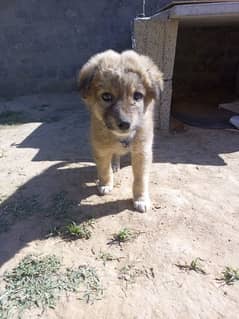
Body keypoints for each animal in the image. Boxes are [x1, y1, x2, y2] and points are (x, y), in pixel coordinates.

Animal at [77, 50, 163, 214]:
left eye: (137, 96)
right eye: (106, 96)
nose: (125, 124)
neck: (121, 138)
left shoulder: (142, 151)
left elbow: (140, 179)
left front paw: (141, 199)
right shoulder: (101, 149)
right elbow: (104, 169)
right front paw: (105, 184)